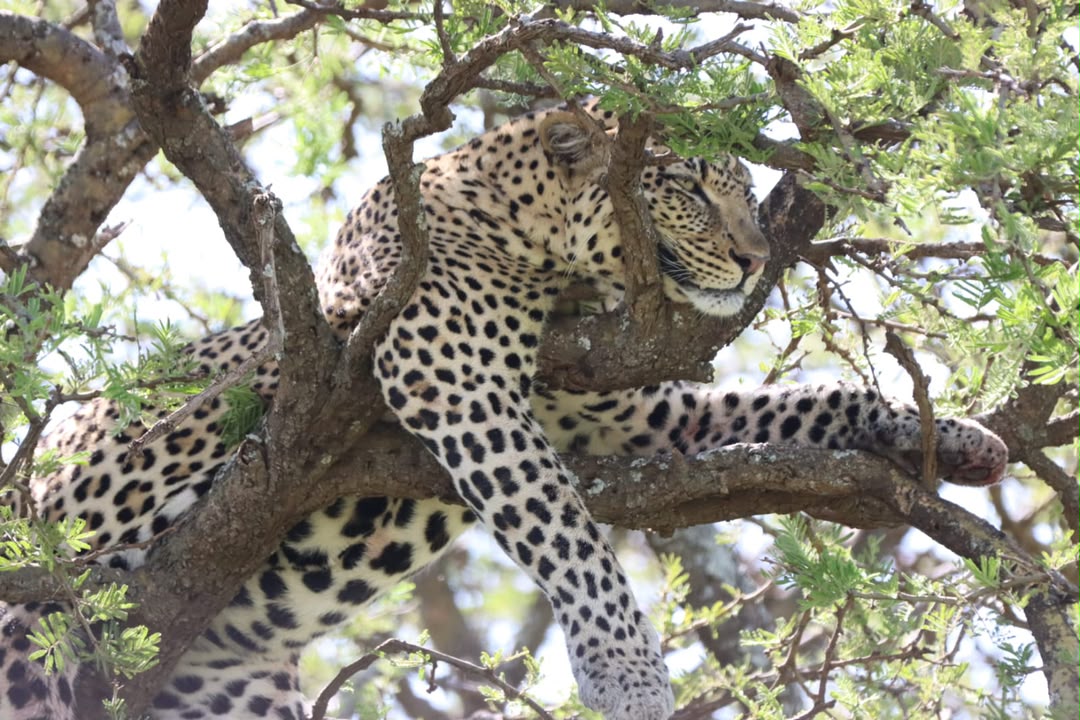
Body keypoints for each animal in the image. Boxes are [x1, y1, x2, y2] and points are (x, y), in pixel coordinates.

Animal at [0, 103, 1009, 720]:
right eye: (686, 187)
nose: (759, 258)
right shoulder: (455, 379)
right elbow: (569, 531)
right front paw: (629, 673)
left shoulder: (625, 413)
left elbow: (804, 399)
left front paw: (959, 436)